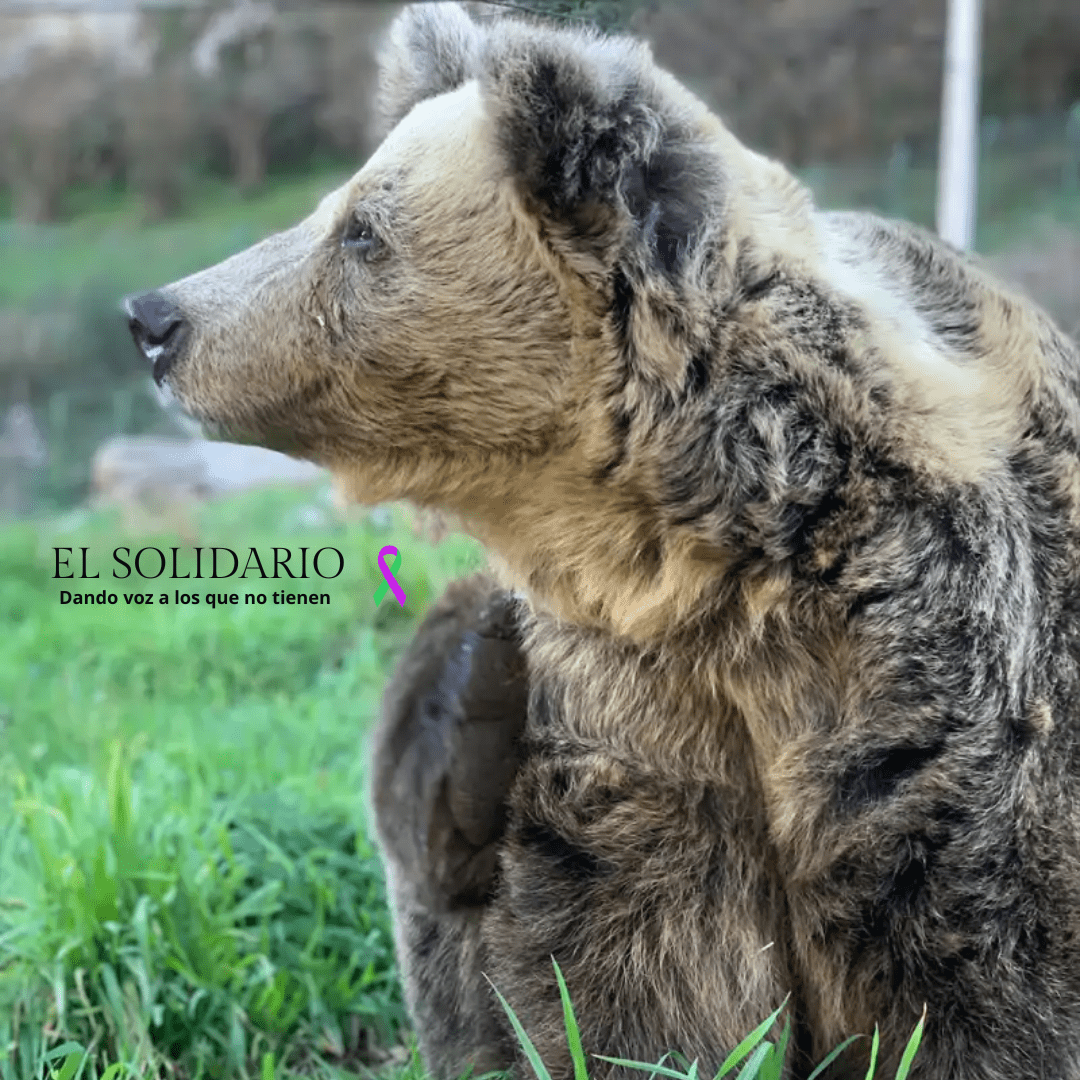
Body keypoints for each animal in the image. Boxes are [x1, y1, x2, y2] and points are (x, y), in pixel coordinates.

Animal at [124, 3, 1080, 1078]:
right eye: (336, 207)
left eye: (361, 228)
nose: (156, 318)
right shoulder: (626, 703)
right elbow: (635, 971)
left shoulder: (937, 682)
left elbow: (973, 963)